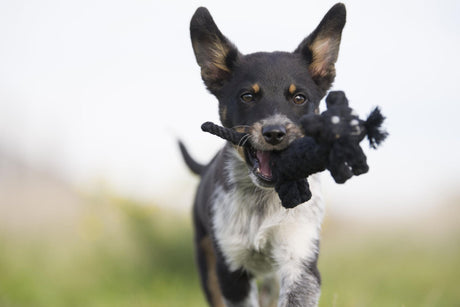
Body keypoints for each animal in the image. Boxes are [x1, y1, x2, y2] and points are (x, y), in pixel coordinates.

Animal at [181, 3, 346, 307]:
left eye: (299, 98)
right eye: (247, 96)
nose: (275, 132)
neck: (264, 200)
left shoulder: (300, 258)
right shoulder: (230, 269)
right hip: (207, 260)